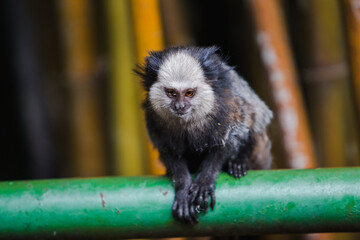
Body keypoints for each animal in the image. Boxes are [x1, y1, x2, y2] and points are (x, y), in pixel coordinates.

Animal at [136, 46, 272, 224]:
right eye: (171, 93)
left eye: (189, 93)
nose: (180, 106)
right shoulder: (154, 121)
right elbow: (170, 153)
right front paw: (183, 187)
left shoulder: (229, 110)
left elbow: (229, 142)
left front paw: (203, 183)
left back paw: (239, 162)